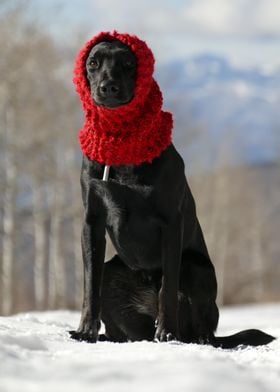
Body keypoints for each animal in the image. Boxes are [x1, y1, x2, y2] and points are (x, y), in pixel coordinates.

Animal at [69, 39, 274, 346]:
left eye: (129, 63)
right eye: (93, 63)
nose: (108, 87)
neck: (123, 148)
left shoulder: (170, 224)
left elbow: (167, 288)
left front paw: (166, 331)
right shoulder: (91, 221)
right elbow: (90, 283)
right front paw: (85, 330)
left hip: (195, 267)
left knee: (198, 327)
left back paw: (182, 335)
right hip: (114, 272)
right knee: (123, 327)